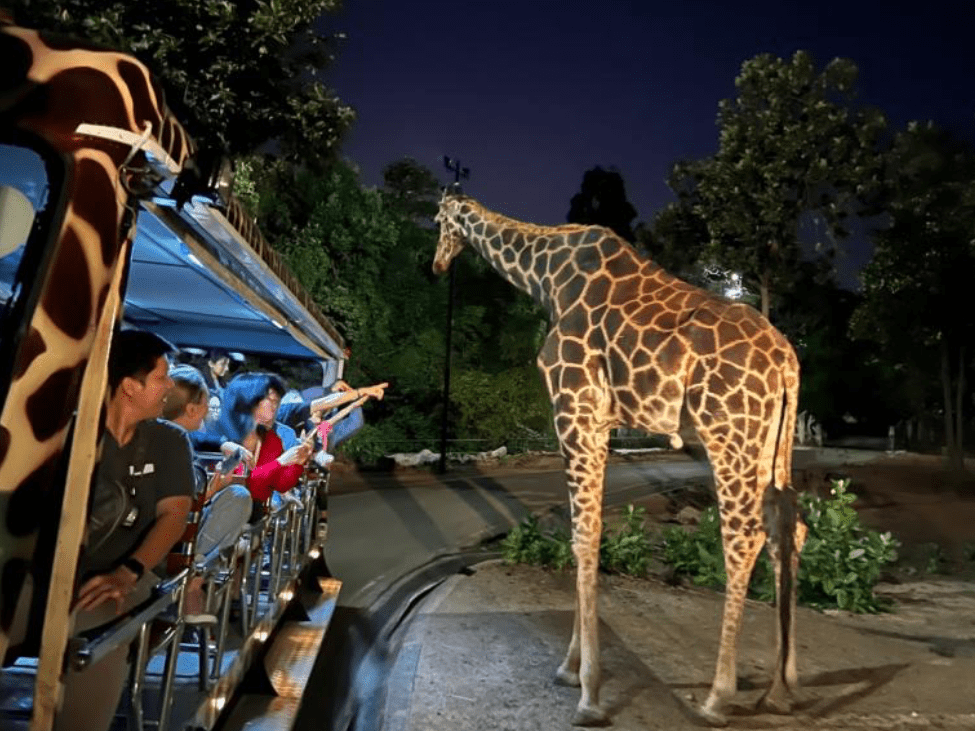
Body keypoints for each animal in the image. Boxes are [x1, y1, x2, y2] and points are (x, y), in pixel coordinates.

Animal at [434, 193, 808, 728]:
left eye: (439, 222)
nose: (437, 264)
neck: (547, 278)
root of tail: (786, 362)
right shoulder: (601, 423)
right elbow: (587, 534)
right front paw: (571, 669)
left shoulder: (573, 408)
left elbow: (583, 535)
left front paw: (588, 690)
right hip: (772, 444)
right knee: (789, 530)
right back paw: (782, 688)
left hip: (727, 435)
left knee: (744, 536)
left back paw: (718, 697)